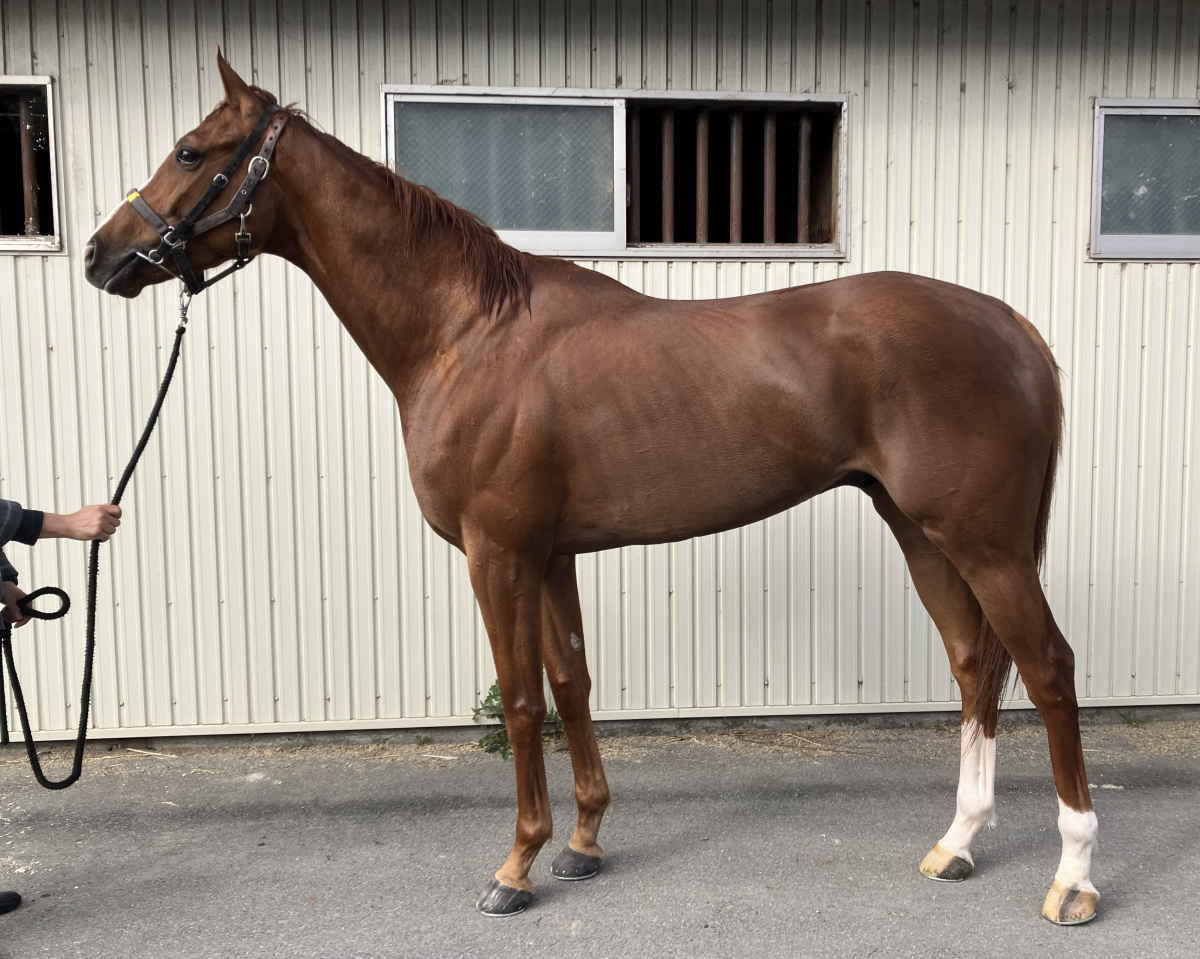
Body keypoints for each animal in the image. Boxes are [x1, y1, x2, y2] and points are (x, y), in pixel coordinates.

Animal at [83, 52, 1098, 924]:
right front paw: (582, 841)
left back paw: (1074, 877)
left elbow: (521, 700)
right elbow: (572, 683)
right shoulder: (553, 553)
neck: (466, 332)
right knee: (973, 665)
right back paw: (957, 844)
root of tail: (1012, 326)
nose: (100, 255)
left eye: (190, 151)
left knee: (1048, 667)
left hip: (984, 542)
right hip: (923, 532)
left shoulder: (497, 554)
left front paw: (515, 866)